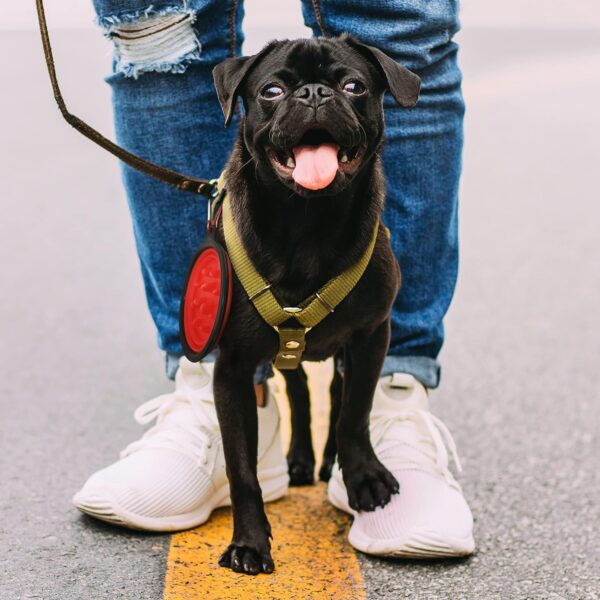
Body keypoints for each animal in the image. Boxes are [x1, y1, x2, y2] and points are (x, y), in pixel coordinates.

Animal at [209, 34, 420, 576]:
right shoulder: (233, 368)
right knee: (301, 389)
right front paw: (249, 543)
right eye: (272, 90)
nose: (313, 94)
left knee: (335, 393)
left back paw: (328, 462)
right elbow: (241, 468)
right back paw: (302, 458)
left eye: (354, 86)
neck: (307, 222)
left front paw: (362, 476)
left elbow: (355, 413)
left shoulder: (372, 336)